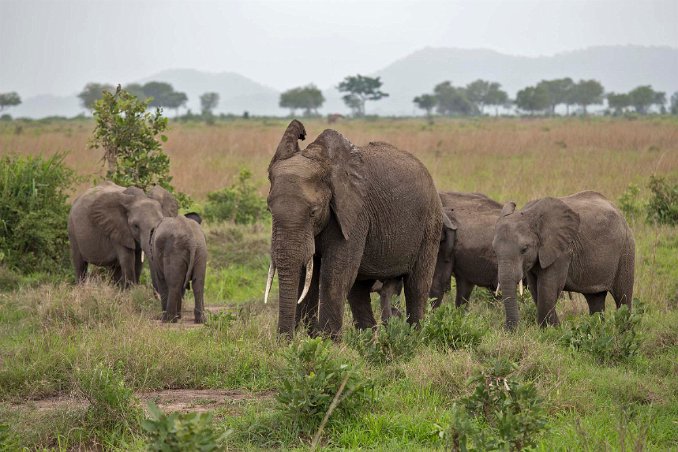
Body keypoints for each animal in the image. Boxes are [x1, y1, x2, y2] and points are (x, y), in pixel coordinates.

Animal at [266, 120, 446, 340]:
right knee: (359, 290)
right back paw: (368, 340)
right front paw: (311, 340)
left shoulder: (355, 214)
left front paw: (327, 343)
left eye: (313, 212)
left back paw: (414, 338)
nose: (284, 341)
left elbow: (335, 275)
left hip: (430, 223)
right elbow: (306, 274)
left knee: (417, 286)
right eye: (269, 210)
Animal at [494, 191, 636, 328]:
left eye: (524, 249)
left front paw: (552, 330)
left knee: (623, 298)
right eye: (494, 250)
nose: (510, 329)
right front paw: (553, 328)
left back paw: (624, 331)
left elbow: (547, 289)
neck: (530, 214)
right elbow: (535, 289)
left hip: (626, 250)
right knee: (595, 299)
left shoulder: (562, 252)